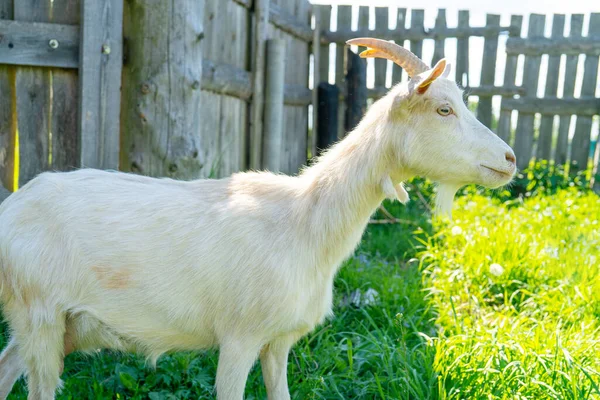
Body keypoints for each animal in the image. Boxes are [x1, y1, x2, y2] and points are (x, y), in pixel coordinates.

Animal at [0, 38, 516, 400]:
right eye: (444, 109)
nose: (509, 159)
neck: (304, 222)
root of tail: (12, 206)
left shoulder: (278, 342)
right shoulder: (239, 338)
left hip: (54, 324)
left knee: (7, 366)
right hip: (39, 312)